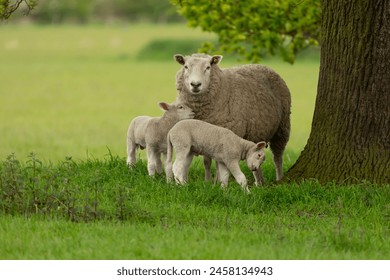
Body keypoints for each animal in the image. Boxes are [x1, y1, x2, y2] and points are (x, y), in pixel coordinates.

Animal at [174, 53, 290, 183]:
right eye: (185, 66)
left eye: (208, 67)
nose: (195, 85)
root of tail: (264, 66)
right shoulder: (204, 135)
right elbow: (207, 161)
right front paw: (208, 181)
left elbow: (219, 163)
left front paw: (217, 182)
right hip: (256, 133)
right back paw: (259, 182)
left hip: (282, 127)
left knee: (278, 157)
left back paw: (279, 179)